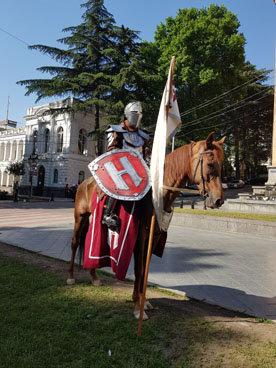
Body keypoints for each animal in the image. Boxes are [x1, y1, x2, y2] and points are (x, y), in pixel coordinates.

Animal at [67, 132, 226, 320]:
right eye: (210, 164)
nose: (219, 200)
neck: (158, 193)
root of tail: (84, 182)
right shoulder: (140, 236)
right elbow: (139, 268)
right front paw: (138, 307)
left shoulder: (154, 236)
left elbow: (145, 268)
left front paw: (144, 301)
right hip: (80, 217)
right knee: (75, 243)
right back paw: (70, 277)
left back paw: (94, 278)